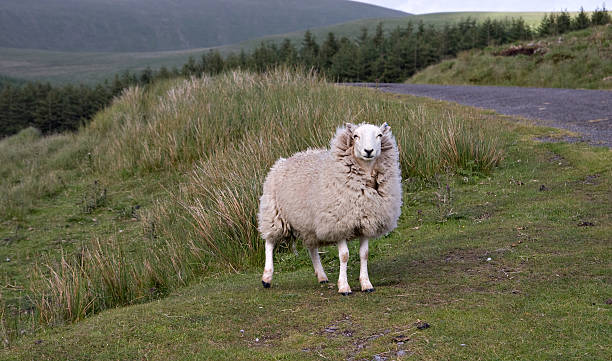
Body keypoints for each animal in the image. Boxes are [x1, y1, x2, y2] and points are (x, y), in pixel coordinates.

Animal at [256, 122, 402, 294]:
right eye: (355, 136)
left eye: (379, 135)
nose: (368, 151)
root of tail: (283, 160)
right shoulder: (338, 223)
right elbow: (344, 255)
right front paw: (344, 287)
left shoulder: (365, 221)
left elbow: (364, 254)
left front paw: (366, 284)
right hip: (274, 213)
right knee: (269, 243)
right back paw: (266, 278)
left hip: (309, 222)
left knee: (312, 248)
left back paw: (322, 276)